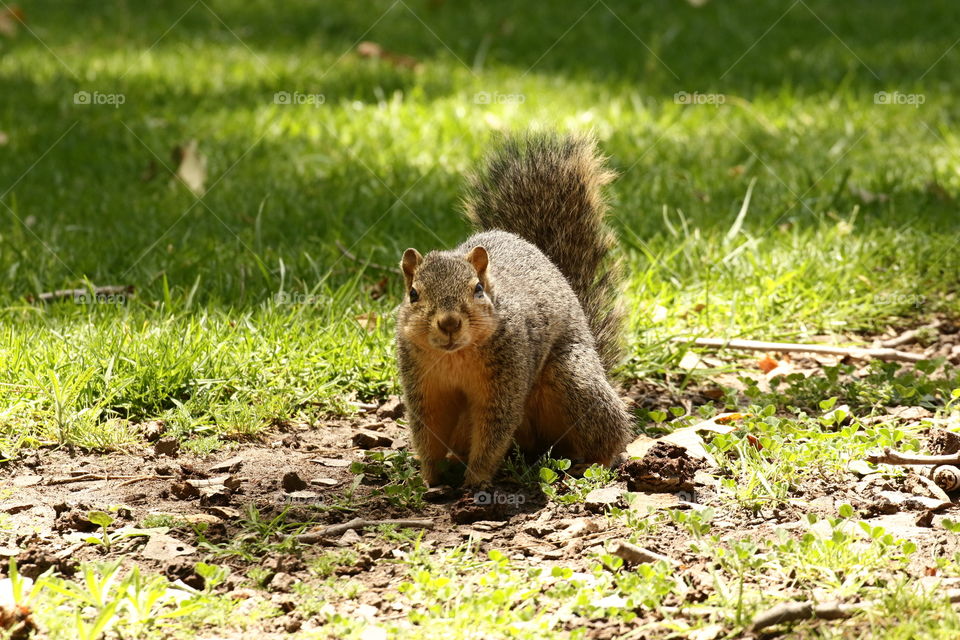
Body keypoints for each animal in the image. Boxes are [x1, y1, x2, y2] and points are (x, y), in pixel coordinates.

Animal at [394, 132, 632, 488]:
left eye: (477, 290)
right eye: (413, 294)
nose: (449, 323)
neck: (454, 356)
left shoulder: (507, 376)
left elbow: (494, 429)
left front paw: (474, 481)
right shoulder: (423, 383)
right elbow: (429, 430)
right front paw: (429, 478)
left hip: (574, 379)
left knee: (610, 434)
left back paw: (593, 463)